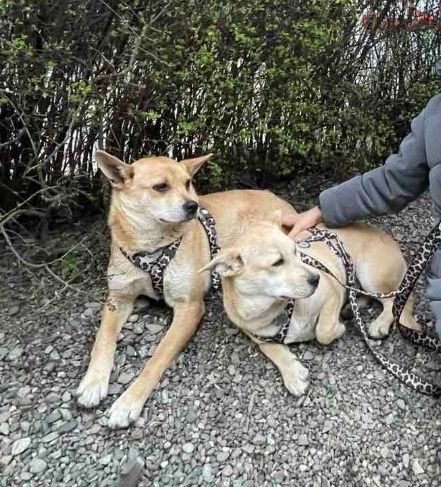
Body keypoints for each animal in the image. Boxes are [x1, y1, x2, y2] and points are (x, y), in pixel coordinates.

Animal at [76, 150, 294, 428]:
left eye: (188, 183)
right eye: (161, 187)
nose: (193, 205)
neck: (151, 248)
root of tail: (278, 198)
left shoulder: (188, 307)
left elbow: (156, 358)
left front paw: (127, 402)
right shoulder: (118, 298)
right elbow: (102, 339)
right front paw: (93, 382)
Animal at [200, 211, 420, 395]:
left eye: (295, 250)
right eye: (277, 263)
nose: (316, 279)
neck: (275, 309)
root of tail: (388, 237)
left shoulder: (332, 291)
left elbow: (323, 331)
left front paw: (337, 329)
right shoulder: (258, 336)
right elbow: (274, 350)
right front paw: (293, 374)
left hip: (370, 275)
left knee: (396, 302)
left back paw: (379, 323)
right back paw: (352, 308)